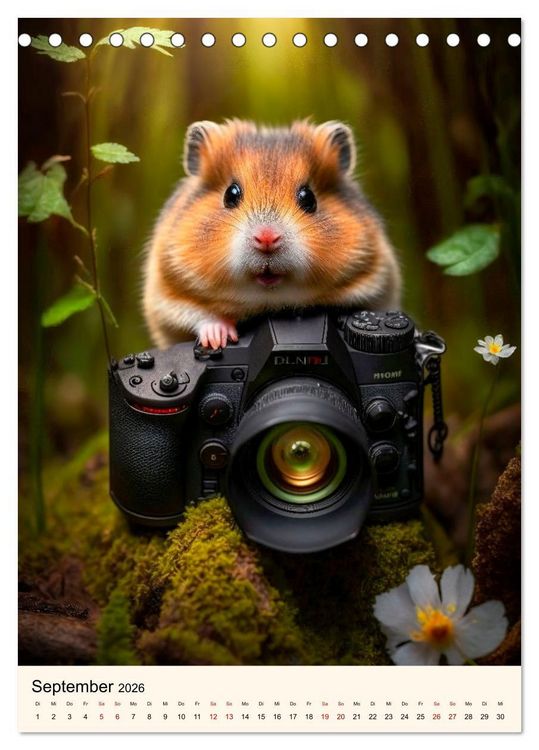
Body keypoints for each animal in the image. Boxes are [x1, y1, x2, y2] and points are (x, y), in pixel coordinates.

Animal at [144, 119, 401, 349]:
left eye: (308, 198)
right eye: (231, 194)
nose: (267, 238)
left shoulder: (376, 279)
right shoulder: (167, 294)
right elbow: (202, 316)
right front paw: (219, 339)